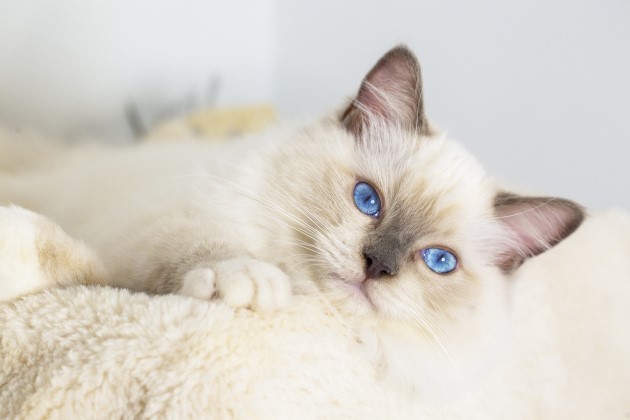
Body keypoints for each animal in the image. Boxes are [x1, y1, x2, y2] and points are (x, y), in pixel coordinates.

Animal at [2, 44, 592, 398]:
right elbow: (183, 251)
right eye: (367, 200)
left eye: (439, 261)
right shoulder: (141, 227)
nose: (376, 266)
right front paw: (249, 282)